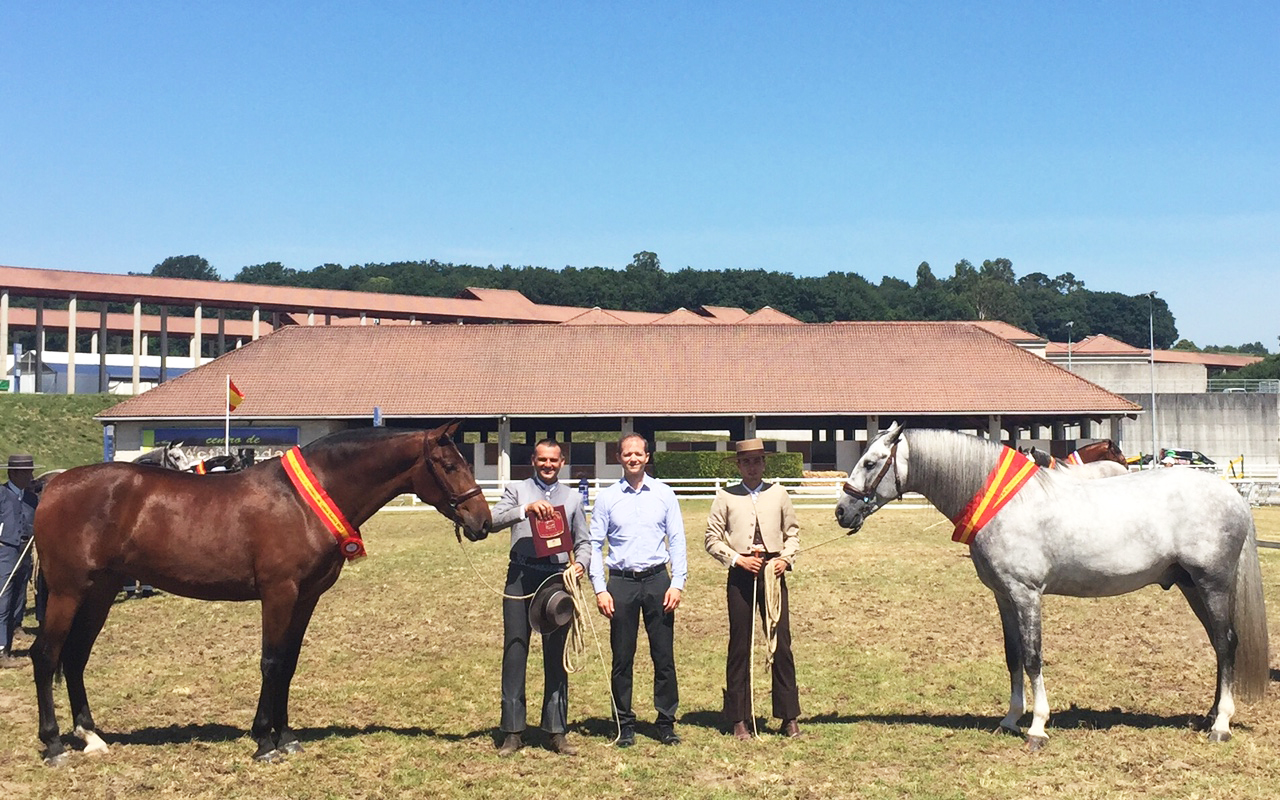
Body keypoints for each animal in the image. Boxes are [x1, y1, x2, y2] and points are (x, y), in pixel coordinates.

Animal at [30, 422, 491, 766]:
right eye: (449, 464)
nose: (482, 522)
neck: (301, 502)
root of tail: (52, 486)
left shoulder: (306, 598)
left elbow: (288, 663)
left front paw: (285, 736)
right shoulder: (279, 592)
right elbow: (271, 662)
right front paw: (264, 742)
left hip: (100, 592)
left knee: (75, 656)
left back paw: (90, 736)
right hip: (69, 591)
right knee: (47, 655)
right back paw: (54, 745)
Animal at [834, 424, 1267, 749]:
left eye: (870, 462)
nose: (841, 511)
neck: (1007, 504)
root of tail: (1232, 496)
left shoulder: (1026, 594)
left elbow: (1032, 656)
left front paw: (1038, 728)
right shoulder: (1003, 596)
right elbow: (1012, 656)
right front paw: (1010, 719)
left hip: (1212, 583)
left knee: (1227, 643)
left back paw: (1221, 725)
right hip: (1190, 586)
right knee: (1218, 645)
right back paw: (1209, 715)